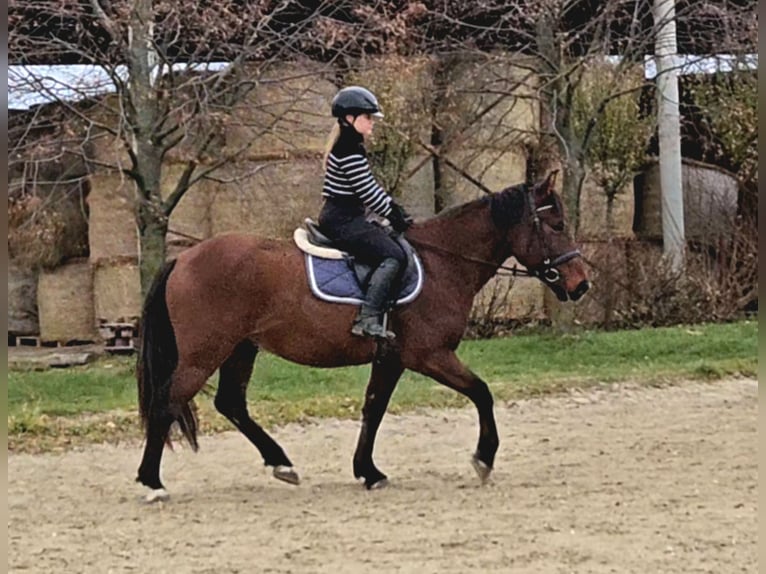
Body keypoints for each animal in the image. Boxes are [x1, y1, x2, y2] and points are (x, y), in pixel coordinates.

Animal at [138, 172, 592, 504]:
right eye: (556, 225)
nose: (582, 284)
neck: (441, 262)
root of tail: (184, 258)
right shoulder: (430, 355)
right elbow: (482, 392)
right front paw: (484, 458)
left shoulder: (390, 359)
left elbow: (373, 409)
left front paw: (368, 472)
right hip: (204, 353)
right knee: (166, 403)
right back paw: (151, 483)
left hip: (240, 349)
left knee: (230, 404)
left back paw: (281, 463)